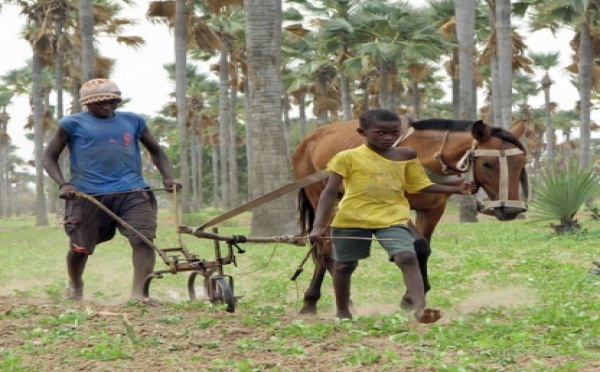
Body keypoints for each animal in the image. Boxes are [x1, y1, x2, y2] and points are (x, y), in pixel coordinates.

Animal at [292, 117, 528, 314]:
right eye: (487, 163)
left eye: (522, 163)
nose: (511, 209)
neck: (425, 156)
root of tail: (308, 139)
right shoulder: (396, 208)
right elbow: (420, 245)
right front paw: (412, 297)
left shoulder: (433, 209)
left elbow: (425, 247)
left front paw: (410, 296)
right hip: (320, 194)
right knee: (324, 247)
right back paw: (315, 300)